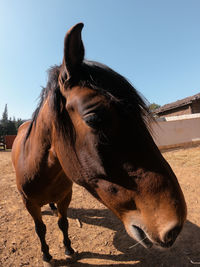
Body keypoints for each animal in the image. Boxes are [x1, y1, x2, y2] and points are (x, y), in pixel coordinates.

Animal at [11, 23, 187, 266]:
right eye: (94, 118)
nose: (174, 227)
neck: (41, 170)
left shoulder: (65, 197)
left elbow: (63, 223)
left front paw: (68, 248)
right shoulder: (29, 204)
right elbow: (41, 229)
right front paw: (47, 254)